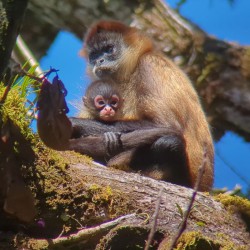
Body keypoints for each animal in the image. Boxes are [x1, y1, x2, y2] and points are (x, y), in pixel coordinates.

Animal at [36, 20, 213, 190]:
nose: (99, 60)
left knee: (169, 142)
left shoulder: (150, 64)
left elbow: (167, 126)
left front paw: (73, 124)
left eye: (109, 49)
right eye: (94, 55)